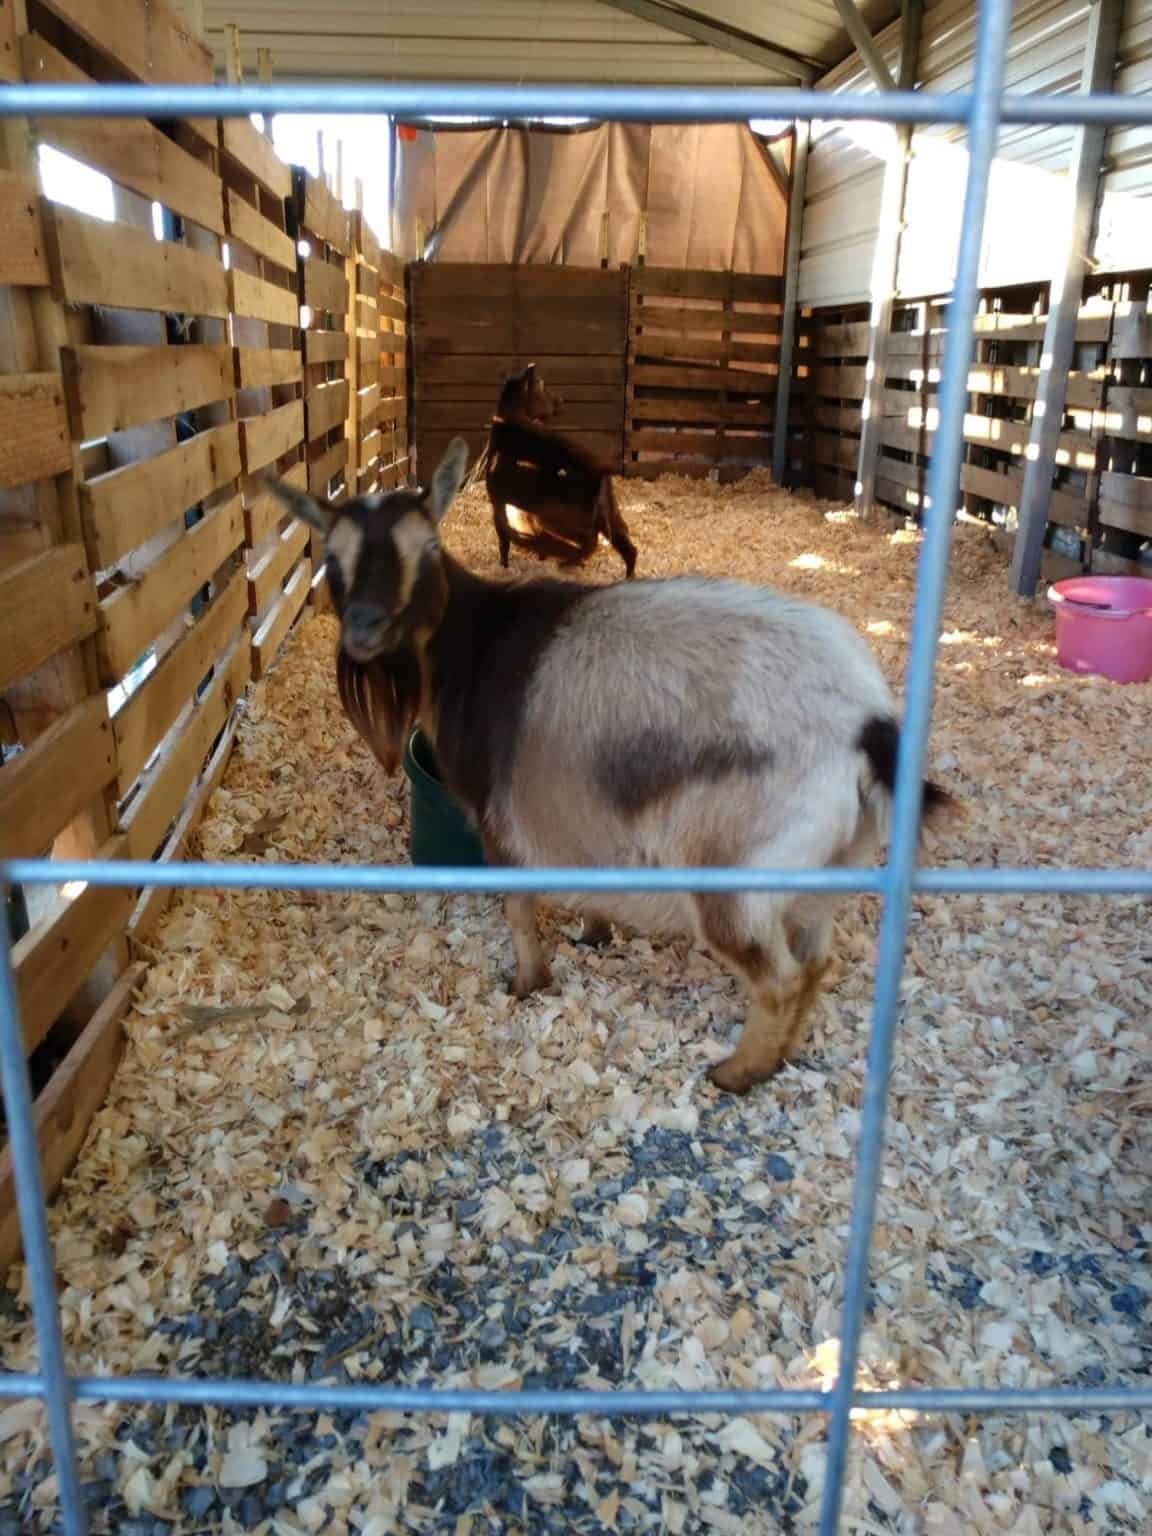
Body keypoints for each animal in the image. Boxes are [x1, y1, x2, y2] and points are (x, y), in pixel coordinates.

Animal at [266, 440, 955, 1096]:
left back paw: (737, 1074)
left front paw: (529, 980)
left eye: (426, 547)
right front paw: (593, 931)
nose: (364, 630)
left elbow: (518, 905)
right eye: (331, 558)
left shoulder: (498, 816)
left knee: (777, 976)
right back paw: (779, 1055)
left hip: (734, 878)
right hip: (828, 870)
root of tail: (867, 727)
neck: (472, 645)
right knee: (816, 962)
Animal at [486, 364, 638, 579]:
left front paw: (505, 565)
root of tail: (601, 473)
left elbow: (503, 538)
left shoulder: (498, 500)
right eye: (542, 386)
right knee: (627, 546)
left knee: (590, 542)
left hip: (561, 517)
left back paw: (566, 560)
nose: (561, 400)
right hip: (611, 513)